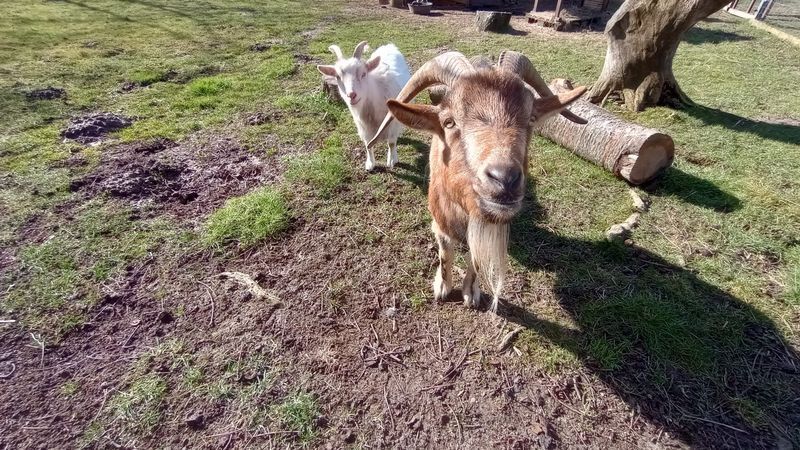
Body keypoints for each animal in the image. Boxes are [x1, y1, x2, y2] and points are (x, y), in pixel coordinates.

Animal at [317, 41, 411, 171]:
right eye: (338, 77)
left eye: (363, 74)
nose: (351, 95)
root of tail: (388, 45)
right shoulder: (363, 126)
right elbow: (368, 145)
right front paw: (370, 164)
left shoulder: (392, 122)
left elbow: (391, 143)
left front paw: (392, 160)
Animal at [369, 51, 587, 313]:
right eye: (449, 122)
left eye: (531, 118)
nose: (505, 179)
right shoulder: (440, 222)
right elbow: (445, 253)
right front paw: (442, 288)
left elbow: (475, 258)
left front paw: (470, 293)